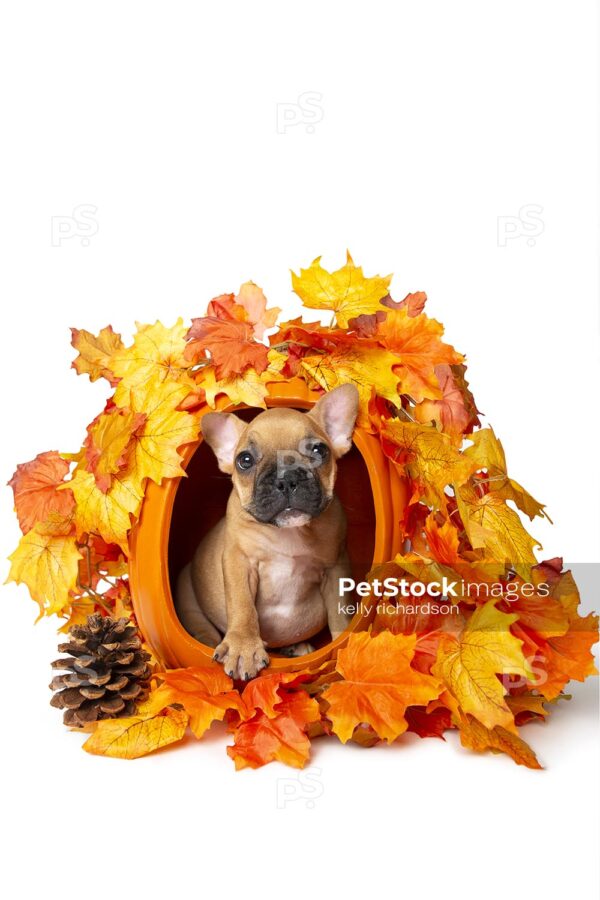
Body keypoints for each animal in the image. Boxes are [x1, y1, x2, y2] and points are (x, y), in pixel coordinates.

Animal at [176, 384, 358, 680]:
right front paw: (243, 647)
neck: (288, 535)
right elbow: (242, 605)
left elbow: (339, 613)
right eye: (245, 460)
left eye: (319, 450)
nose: (287, 477)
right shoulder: (239, 562)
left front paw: (344, 646)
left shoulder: (335, 567)